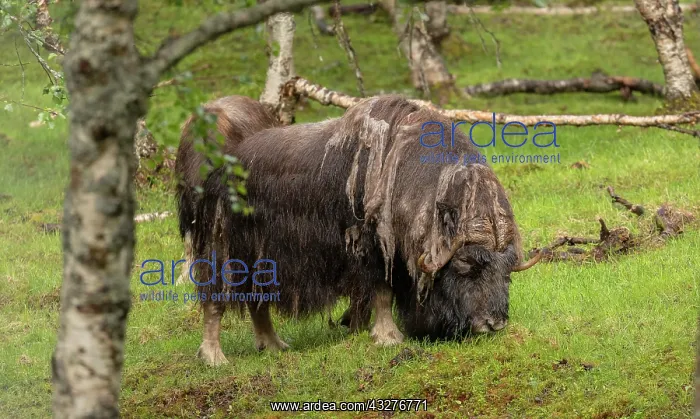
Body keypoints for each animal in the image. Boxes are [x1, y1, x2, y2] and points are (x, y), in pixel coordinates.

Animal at [184, 95, 541, 365]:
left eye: (507, 272)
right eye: (466, 266)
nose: (493, 325)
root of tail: (220, 158)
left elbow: (364, 297)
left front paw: (355, 327)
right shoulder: (371, 249)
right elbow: (381, 291)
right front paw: (388, 338)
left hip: (262, 258)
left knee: (258, 300)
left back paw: (274, 345)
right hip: (223, 249)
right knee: (216, 300)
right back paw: (215, 358)